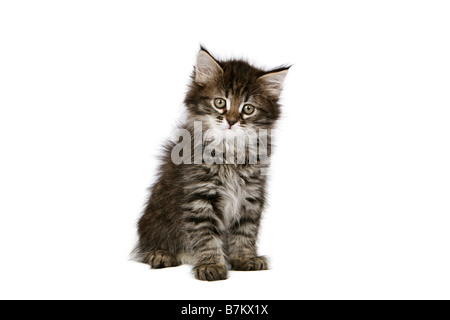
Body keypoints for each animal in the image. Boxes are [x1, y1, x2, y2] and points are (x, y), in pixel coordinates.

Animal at [134, 46, 288, 282]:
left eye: (248, 109)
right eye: (220, 102)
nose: (232, 121)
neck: (230, 150)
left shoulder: (251, 194)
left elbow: (245, 230)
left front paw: (245, 258)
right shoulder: (199, 195)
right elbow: (205, 235)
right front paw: (210, 265)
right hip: (154, 219)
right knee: (149, 246)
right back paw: (160, 254)